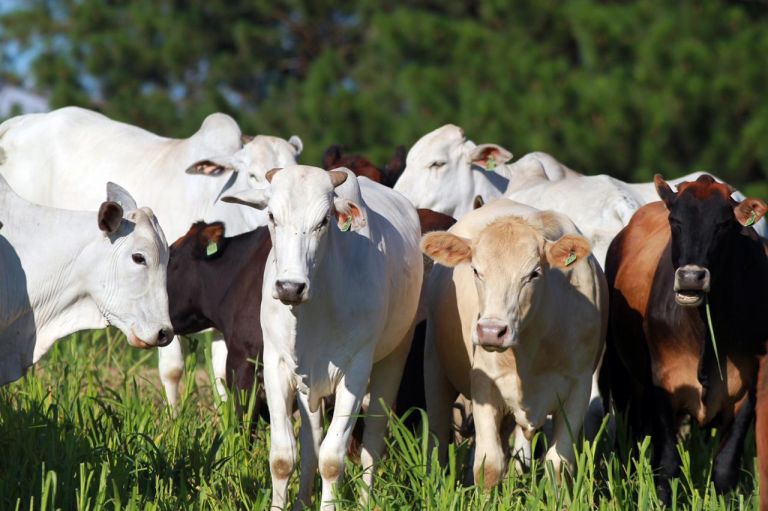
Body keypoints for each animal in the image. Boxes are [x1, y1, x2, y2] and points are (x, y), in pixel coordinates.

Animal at [221, 165, 423, 510]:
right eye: (271, 216)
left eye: (324, 221)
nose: (290, 287)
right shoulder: (276, 366)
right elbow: (284, 457)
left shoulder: (355, 372)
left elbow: (332, 459)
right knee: (310, 441)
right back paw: (303, 501)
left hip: (394, 357)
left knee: (372, 442)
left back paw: (365, 501)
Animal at [420, 198, 607, 488]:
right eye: (476, 270)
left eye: (534, 273)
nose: (491, 331)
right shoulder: (484, 385)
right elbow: (488, 465)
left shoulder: (579, 387)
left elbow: (558, 465)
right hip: (434, 366)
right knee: (438, 435)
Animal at [599, 174, 768, 504]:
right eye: (675, 221)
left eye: (723, 224)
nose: (691, 277)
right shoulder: (664, 384)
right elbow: (666, 464)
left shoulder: (747, 388)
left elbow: (725, 467)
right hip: (621, 376)